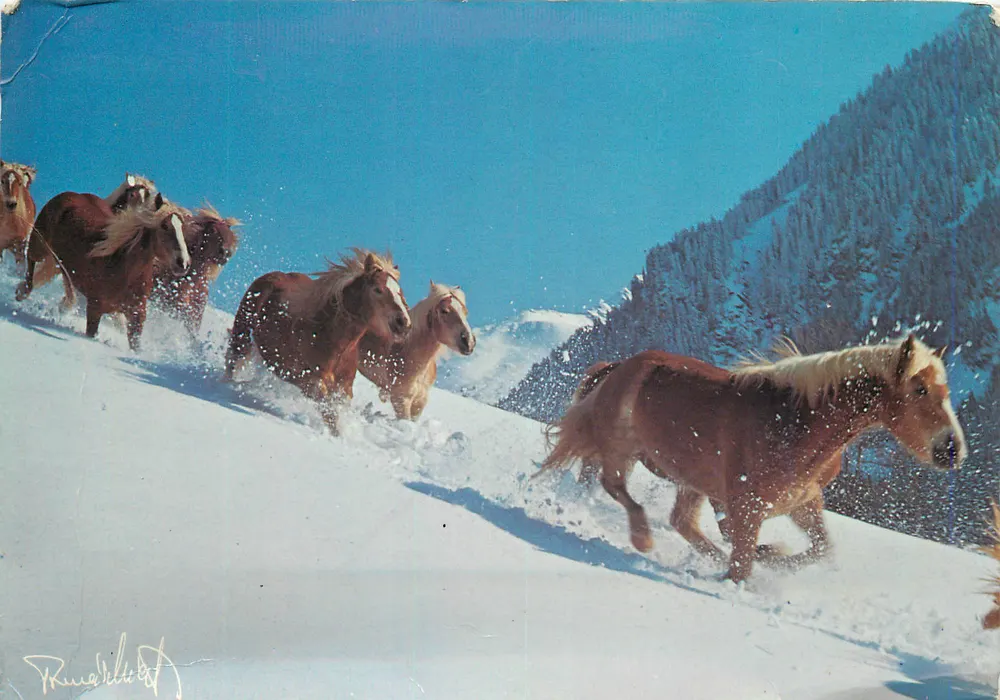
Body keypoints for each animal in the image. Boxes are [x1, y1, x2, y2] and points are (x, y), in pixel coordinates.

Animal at [15, 191, 191, 351]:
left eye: (182, 228)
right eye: (164, 226)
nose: (183, 263)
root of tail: (69, 194)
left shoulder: (137, 315)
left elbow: (135, 345)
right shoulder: (95, 308)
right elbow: (91, 333)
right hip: (40, 244)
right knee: (31, 260)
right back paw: (22, 292)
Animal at [224, 249, 412, 435]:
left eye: (400, 292)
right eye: (377, 289)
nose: (403, 323)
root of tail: (272, 276)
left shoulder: (344, 388)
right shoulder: (309, 380)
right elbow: (329, 412)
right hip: (241, 332)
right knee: (233, 360)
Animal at [538, 334, 966, 583]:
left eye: (946, 390)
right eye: (919, 389)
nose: (952, 450)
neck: (796, 424)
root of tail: (617, 367)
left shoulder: (802, 502)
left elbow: (821, 550)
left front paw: (772, 556)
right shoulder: (747, 505)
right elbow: (742, 563)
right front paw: (753, 567)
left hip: (688, 478)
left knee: (680, 521)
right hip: (621, 448)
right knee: (614, 486)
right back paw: (642, 538)